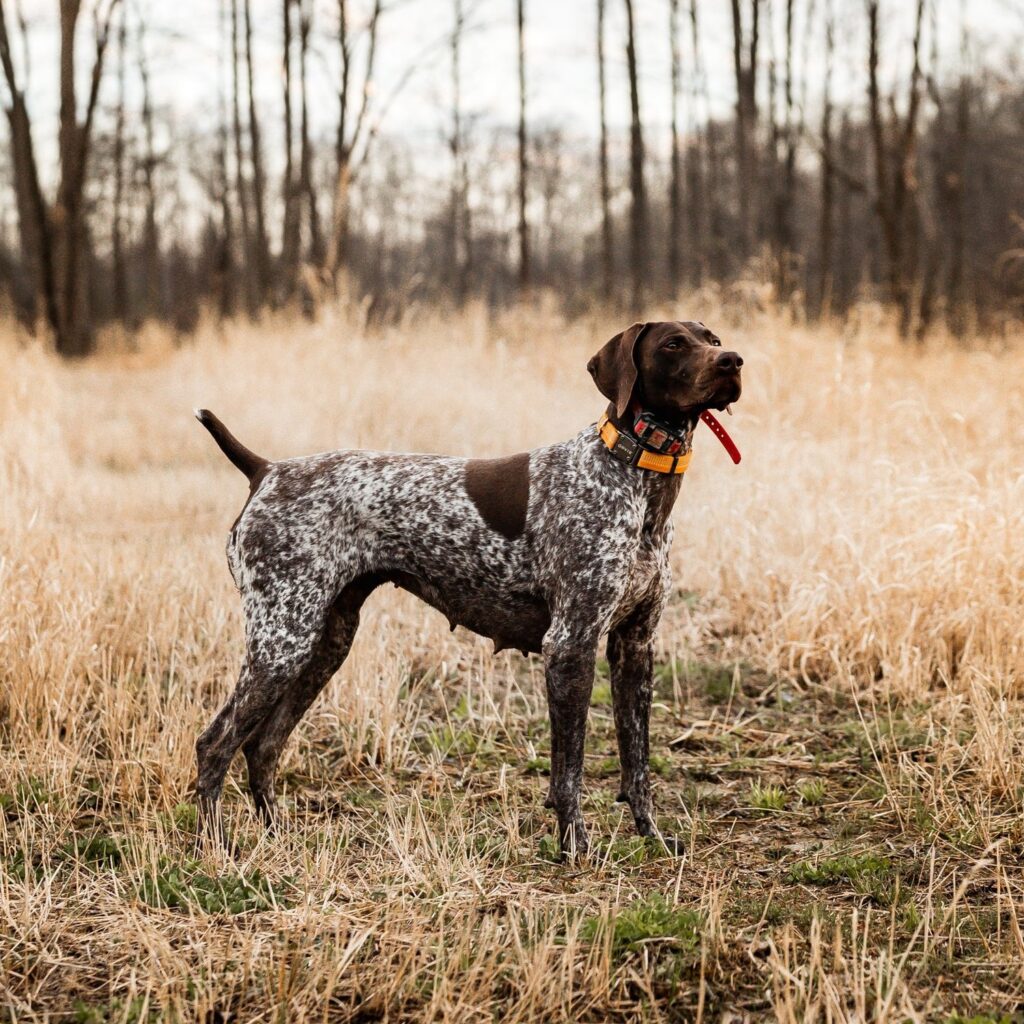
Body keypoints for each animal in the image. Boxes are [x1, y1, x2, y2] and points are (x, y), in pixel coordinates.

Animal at [192, 321, 741, 856]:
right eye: (674, 344)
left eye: (712, 338)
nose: (732, 361)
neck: (636, 478)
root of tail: (267, 470)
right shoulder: (570, 644)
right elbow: (570, 768)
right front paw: (575, 846)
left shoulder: (635, 645)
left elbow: (637, 760)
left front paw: (652, 836)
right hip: (282, 642)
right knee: (215, 743)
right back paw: (215, 846)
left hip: (324, 642)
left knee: (263, 745)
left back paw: (277, 836)